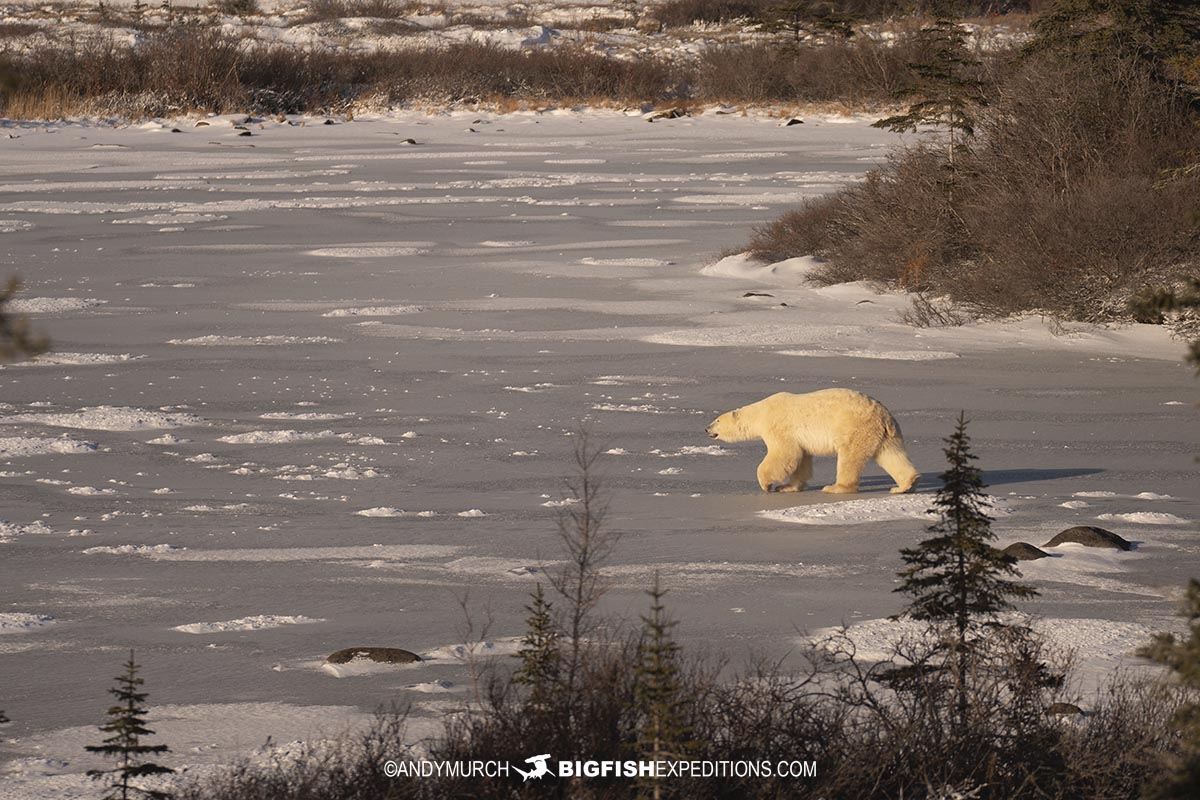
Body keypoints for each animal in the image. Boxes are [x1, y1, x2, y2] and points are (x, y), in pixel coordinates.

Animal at [700, 388, 916, 494]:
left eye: (717, 420)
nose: (706, 428)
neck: (760, 412)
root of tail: (884, 416)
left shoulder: (778, 426)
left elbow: (784, 454)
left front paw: (766, 485)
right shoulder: (799, 439)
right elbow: (801, 459)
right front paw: (787, 487)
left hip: (854, 428)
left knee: (849, 459)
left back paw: (835, 487)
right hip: (886, 434)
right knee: (891, 455)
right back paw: (905, 485)